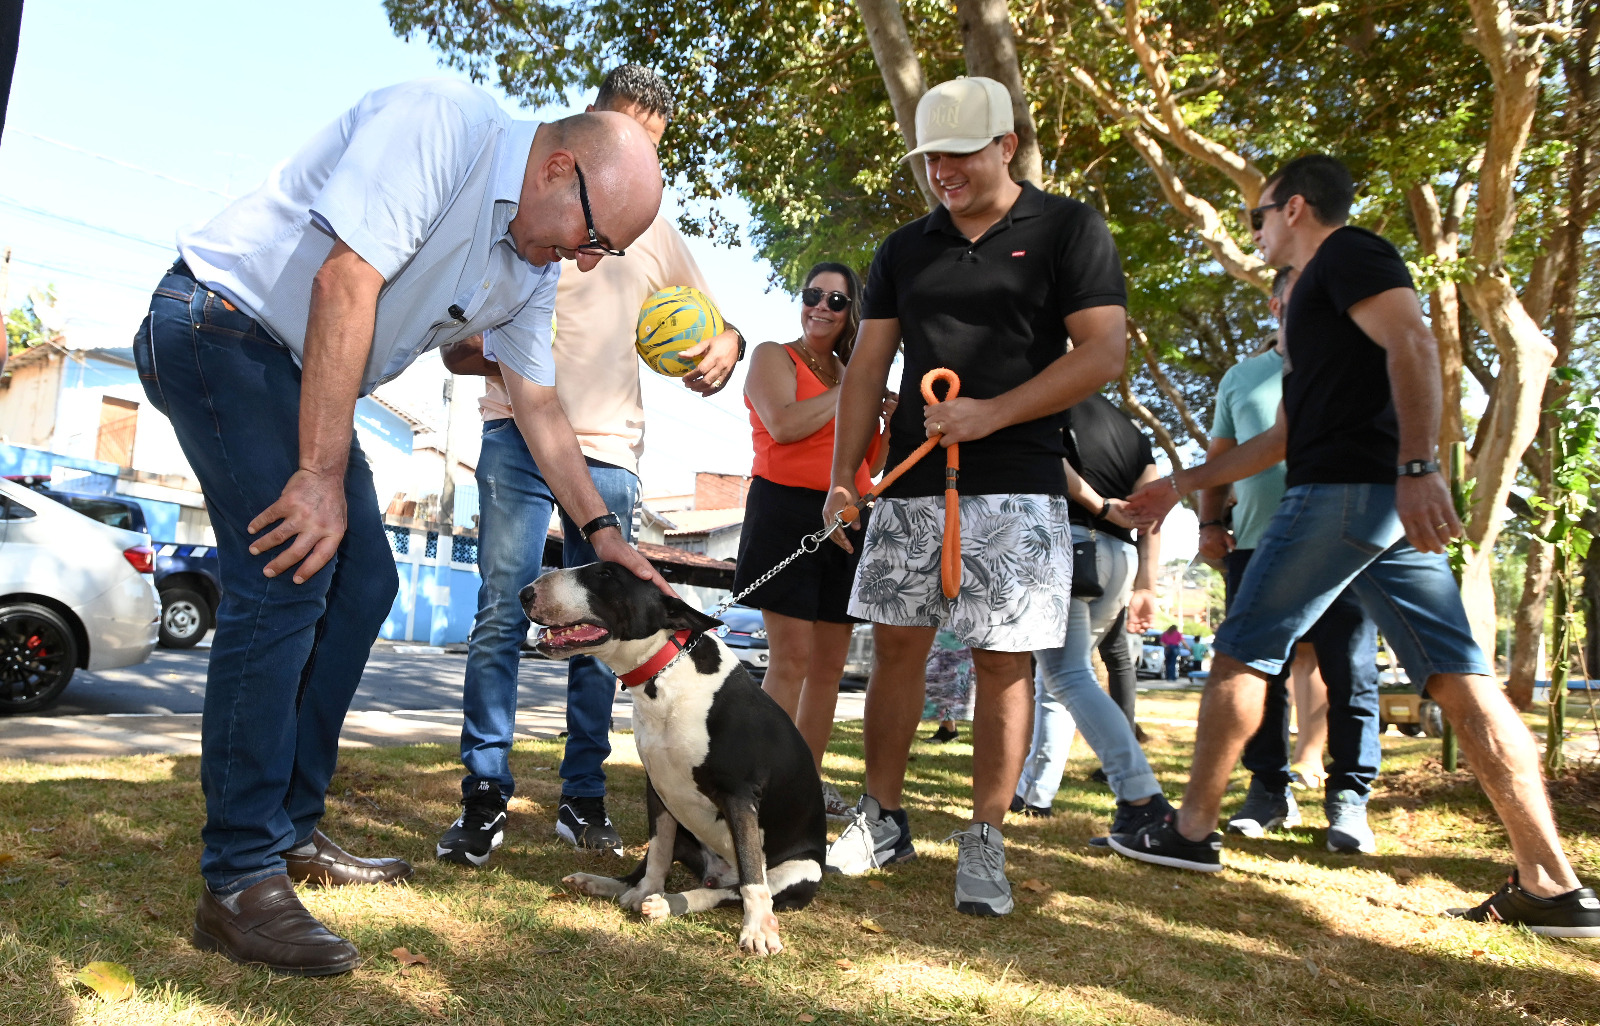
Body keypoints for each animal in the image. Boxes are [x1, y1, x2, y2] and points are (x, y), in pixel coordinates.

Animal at [524, 560, 825, 953]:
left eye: (606, 574)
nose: (525, 593)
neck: (664, 673)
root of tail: (715, 872)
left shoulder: (739, 795)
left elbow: (751, 874)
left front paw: (758, 928)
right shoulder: (659, 788)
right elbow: (658, 852)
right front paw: (645, 891)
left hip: (800, 870)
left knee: (733, 889)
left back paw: (670, 904)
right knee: (665, 870)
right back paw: (608, 884)